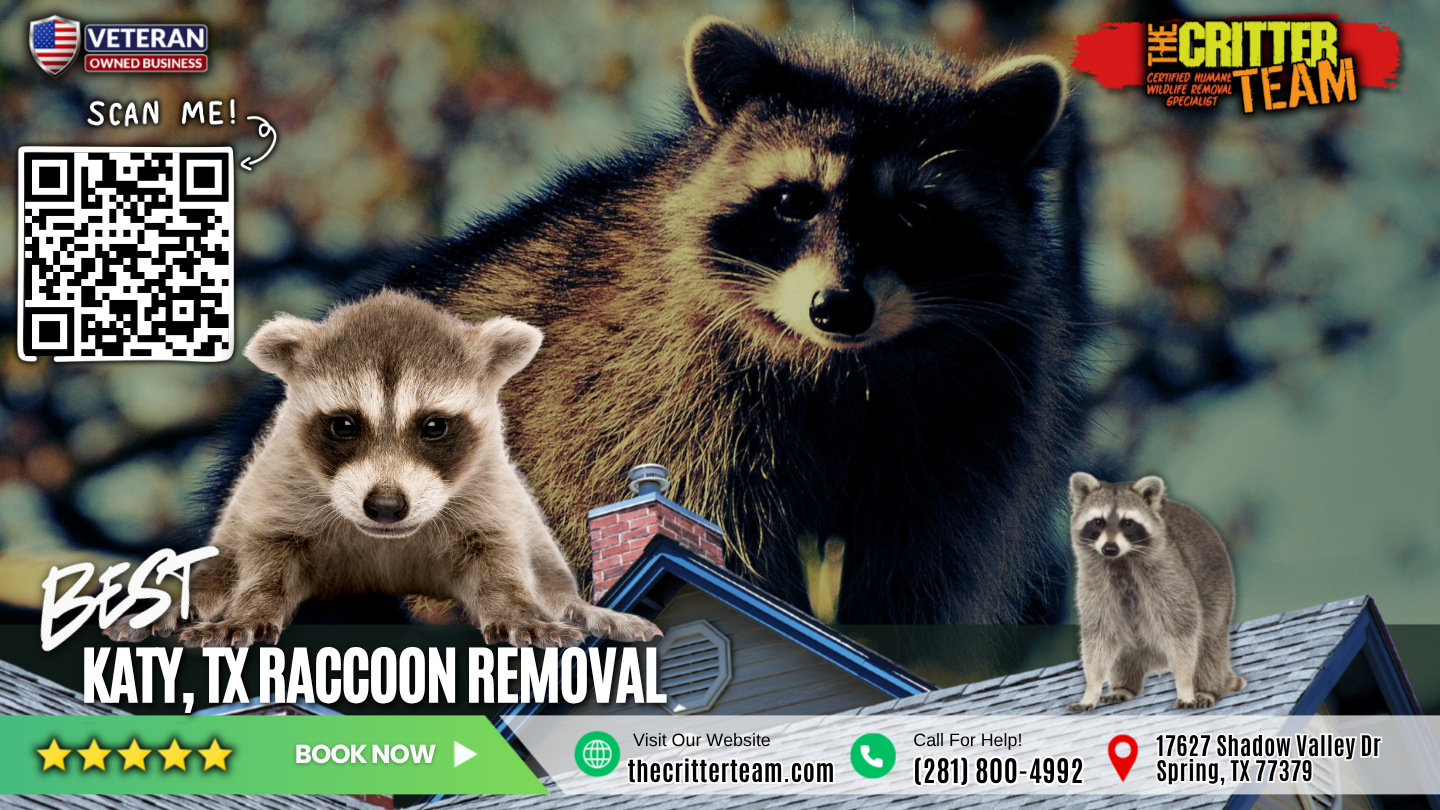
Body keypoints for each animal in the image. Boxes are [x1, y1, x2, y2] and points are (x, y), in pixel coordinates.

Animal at [108, 291, 660, 647]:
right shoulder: (283, 483)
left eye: (434, 426)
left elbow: (497, 560)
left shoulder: (486, 490)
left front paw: (516, 609)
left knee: (544, 565)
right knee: (218, 564)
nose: (387, 506)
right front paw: (253, 608)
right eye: (344, 425)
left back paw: (578, 606)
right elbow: (268, 560)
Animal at [215, 18, 1093, 624]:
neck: (844, 366)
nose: (838, 306)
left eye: (915, 215)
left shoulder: (963, 445)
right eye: (791, 201)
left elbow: (914, 582)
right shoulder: (661, 402)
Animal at [1066, 473, 1245, 711]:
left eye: (1128, 522)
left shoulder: (1168, 574)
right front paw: (1091, 689)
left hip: (1219, 588)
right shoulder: (1094, 582)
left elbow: (1182, 632)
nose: (1109, 549)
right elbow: (1099, 636)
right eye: (1098, 521)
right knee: (1124, 651)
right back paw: (1124, 687)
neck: (1121, 560)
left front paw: (1185, 685)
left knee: (1210, 644)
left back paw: (1208, 688)